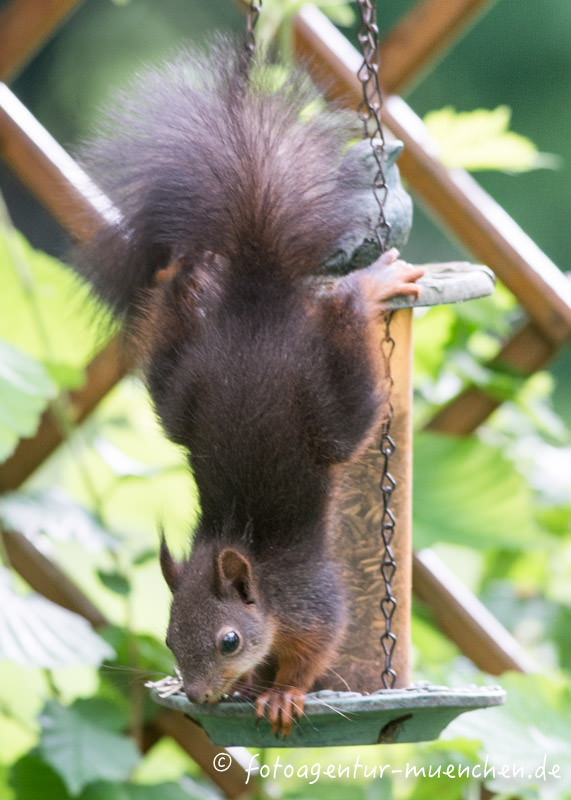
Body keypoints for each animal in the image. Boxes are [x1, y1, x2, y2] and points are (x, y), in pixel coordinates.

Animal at [76, 39, 424, 737]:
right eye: (168, 638)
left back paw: (366, 287)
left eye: (229, 640)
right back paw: (184, 276)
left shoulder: (311, 603)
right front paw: (250, 690)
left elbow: (314, 649)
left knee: (348, 335)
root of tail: (258, 304)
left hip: (327, 405)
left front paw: (282, 693)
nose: (200, 696)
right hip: (184, 391)